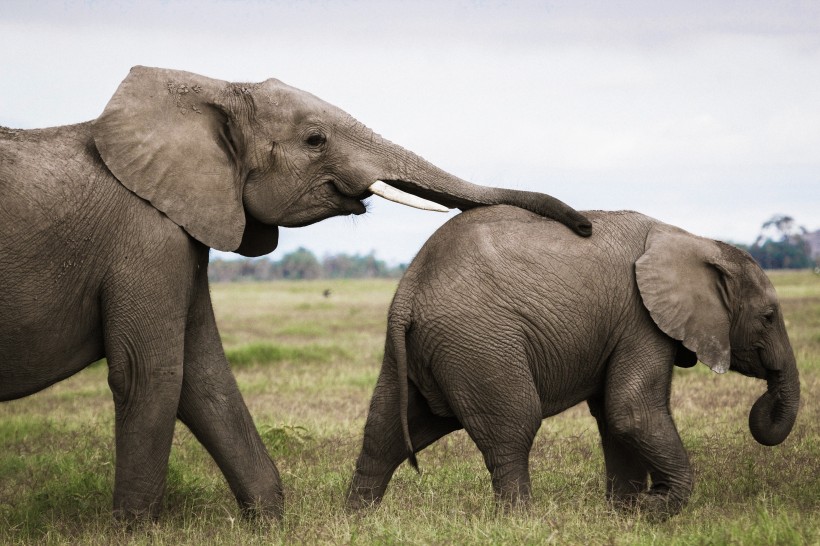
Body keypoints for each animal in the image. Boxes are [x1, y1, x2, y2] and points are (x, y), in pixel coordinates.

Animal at [0, 67, 588, 520]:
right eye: (314, 140)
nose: (582, 226)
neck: (209, 90)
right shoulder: (147, 234)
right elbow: (152, 373)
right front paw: (134, 533)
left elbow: (205, 376)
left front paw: (269, 523)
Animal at [348, 205, 800, 520]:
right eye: (768, 317)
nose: (762, 404)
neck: (694, 240)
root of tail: (409, 289)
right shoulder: (641, 320)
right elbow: (631, 410)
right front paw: (650, 510)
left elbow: (615, 418)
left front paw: (623, 514)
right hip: (478, 343)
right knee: (513, 427)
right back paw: (519, 523)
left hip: (429, 350)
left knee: (386, 430)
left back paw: (357, 519)